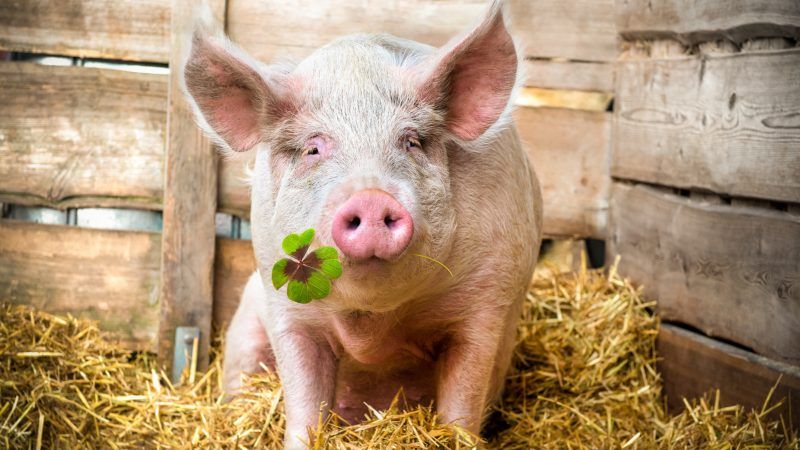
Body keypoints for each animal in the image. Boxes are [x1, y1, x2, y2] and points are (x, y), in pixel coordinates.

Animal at [184, 1, 540, 448]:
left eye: (411, 141)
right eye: (314, 148)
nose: (371, 197)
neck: (373, 322)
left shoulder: (487, 301)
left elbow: (463, 398)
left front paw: (454, 435)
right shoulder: (285, 308)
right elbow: (303, 402)